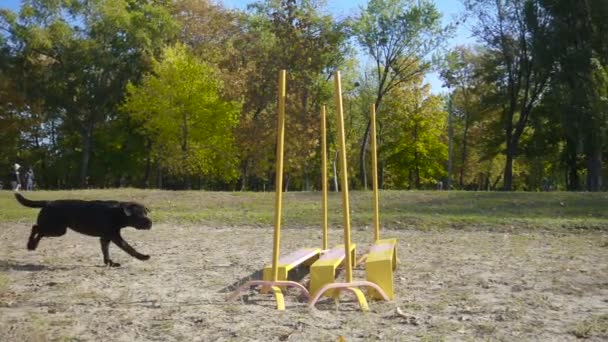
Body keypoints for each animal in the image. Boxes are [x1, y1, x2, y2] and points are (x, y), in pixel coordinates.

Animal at [14, 192, 152, 268]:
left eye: (145, 212)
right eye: (139, 214)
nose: (150, 223)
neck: (118, 213)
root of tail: (48, 202)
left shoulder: (105, 237)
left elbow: (105, 251)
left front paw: (109, 263)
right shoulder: (114, 236)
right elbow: (129, 247)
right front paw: (143, 257)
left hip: (57, 229)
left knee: (38, 229)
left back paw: (32, 245)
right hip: (57, 229)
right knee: (36, 228)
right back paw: (31, 245)